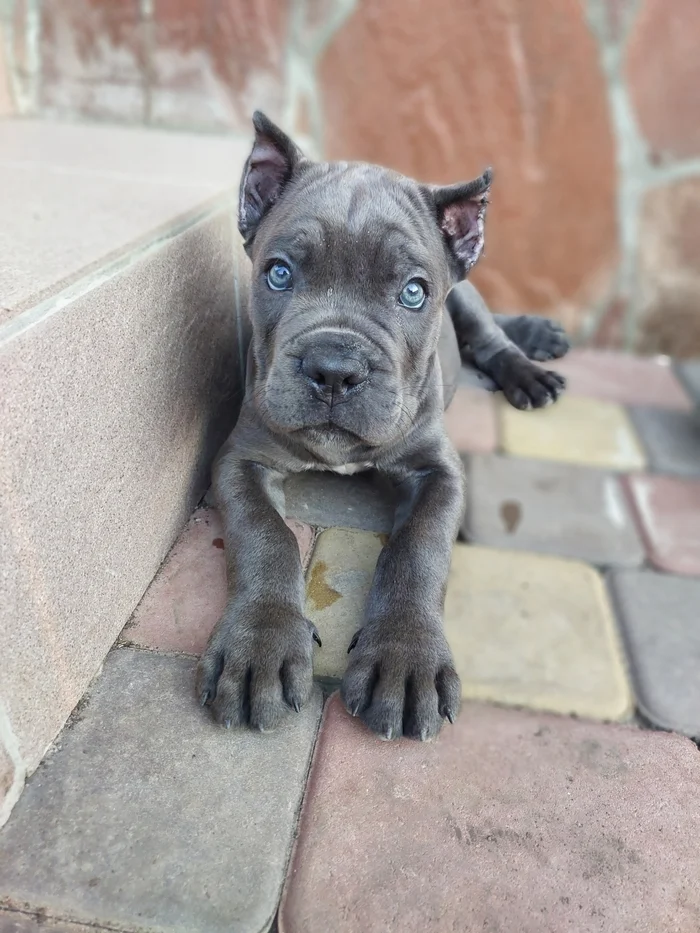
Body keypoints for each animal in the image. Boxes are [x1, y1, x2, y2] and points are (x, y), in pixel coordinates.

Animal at [197, 114, 568, 744]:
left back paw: (529, 361)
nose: (334, 369)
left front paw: (405, 658)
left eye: (413, 292)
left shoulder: (437, 470)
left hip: (469, 301)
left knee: (492, 338)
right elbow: (265, 535)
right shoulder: (242, 458)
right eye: (279, 274)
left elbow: (419, 548)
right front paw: (261, 644)